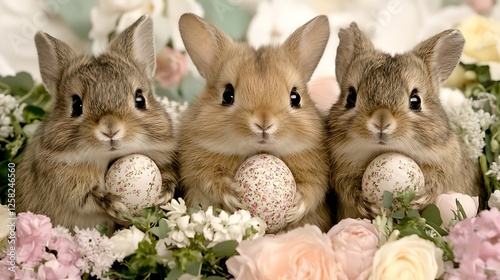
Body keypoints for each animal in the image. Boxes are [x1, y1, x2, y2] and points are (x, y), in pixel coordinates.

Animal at [15, 14, 178, 232]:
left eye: (140, 99)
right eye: (76, 105)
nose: (110, 129)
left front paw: (164, 194)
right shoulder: (66, 183)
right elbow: (86, 197)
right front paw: (116, 205)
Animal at [178, 13, 334, 232]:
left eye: (295, 97)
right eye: (227, 95)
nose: (264, 123)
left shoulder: (316, 170)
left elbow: (313, 189)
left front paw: (295, 207)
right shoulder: (199, 167)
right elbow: (211, 181)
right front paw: (234, 194)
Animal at [328, 22, 484, 221]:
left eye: (415, 101)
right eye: (351, 97)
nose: (381, 122)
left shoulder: (446, 166)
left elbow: (437, 182)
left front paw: (420, 198)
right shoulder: (342, 171)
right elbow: (347, 186)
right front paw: (367, 204)